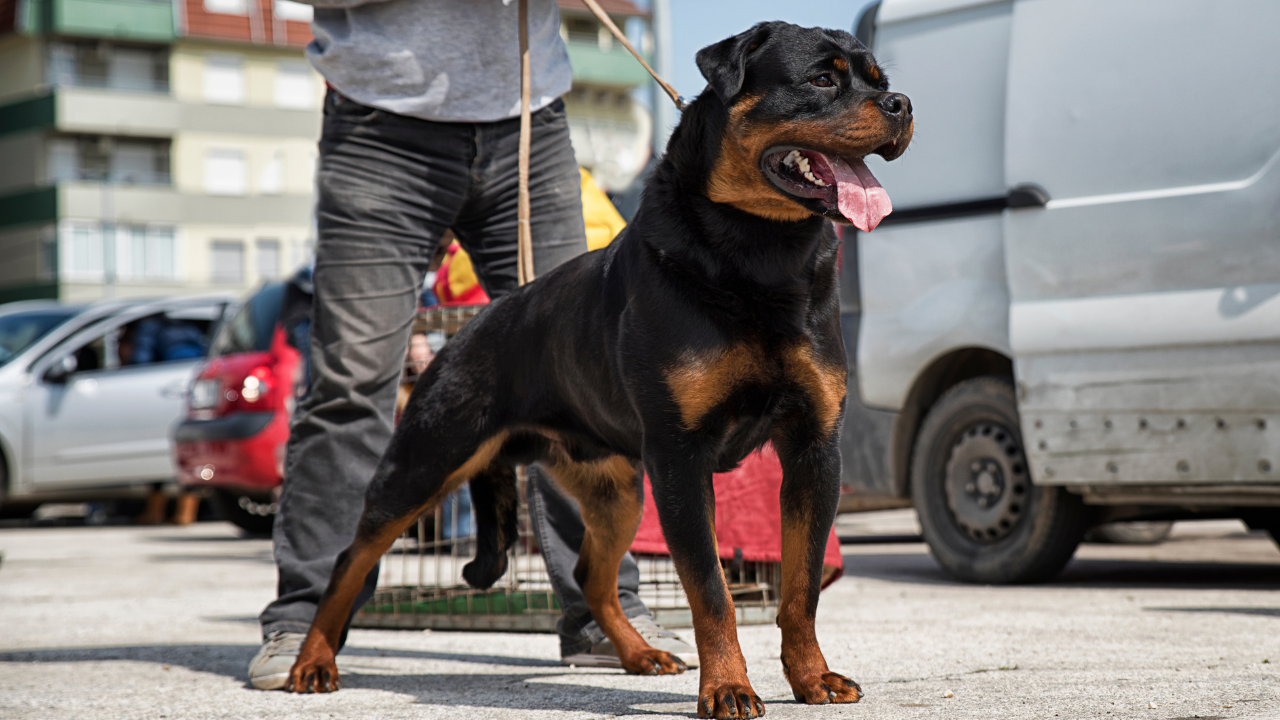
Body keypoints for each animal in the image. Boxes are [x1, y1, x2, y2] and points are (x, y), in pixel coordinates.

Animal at [285, 21, 912, 719]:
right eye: (823, 80)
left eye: (879, 81)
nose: (901, 105)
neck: (761, 252)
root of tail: (462, 330)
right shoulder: (680, 456)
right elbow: (711, 591)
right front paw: (727, 688)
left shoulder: (812, 448)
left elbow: (801, 589)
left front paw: (811, 677)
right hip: (425, 459)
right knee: (350, 558)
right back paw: (311, 661)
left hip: (616, 487)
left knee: (591, 574)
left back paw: (639, 654)